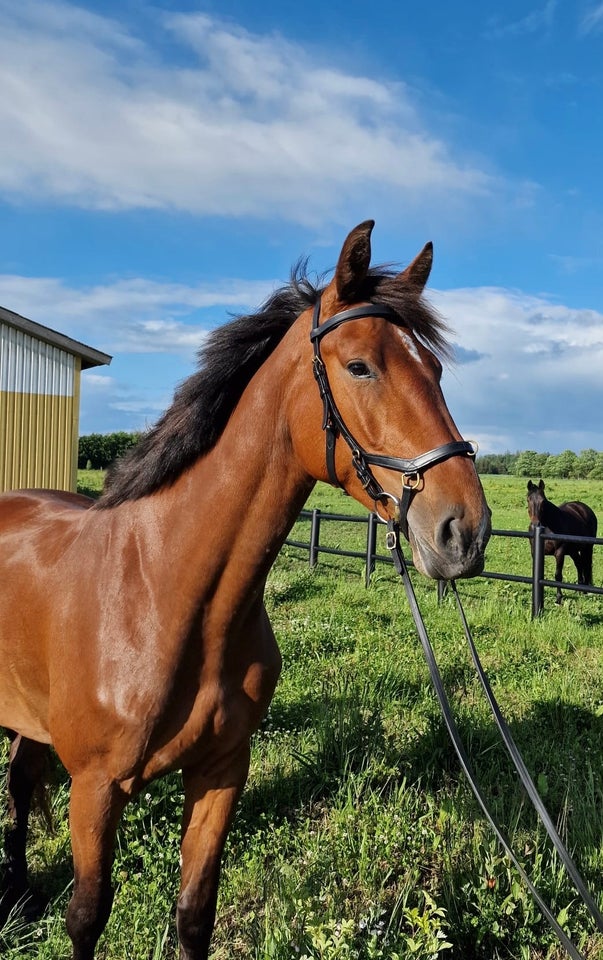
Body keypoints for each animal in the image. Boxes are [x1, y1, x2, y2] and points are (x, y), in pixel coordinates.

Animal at [0, 221, 490, 956]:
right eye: (360, 367)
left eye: (432, 371)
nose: (466, 531)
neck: (167, 594)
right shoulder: (95, 789)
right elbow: (86, 918)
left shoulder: (222, 772)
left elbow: (194, 913)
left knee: (21, 783)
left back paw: (21, 893)